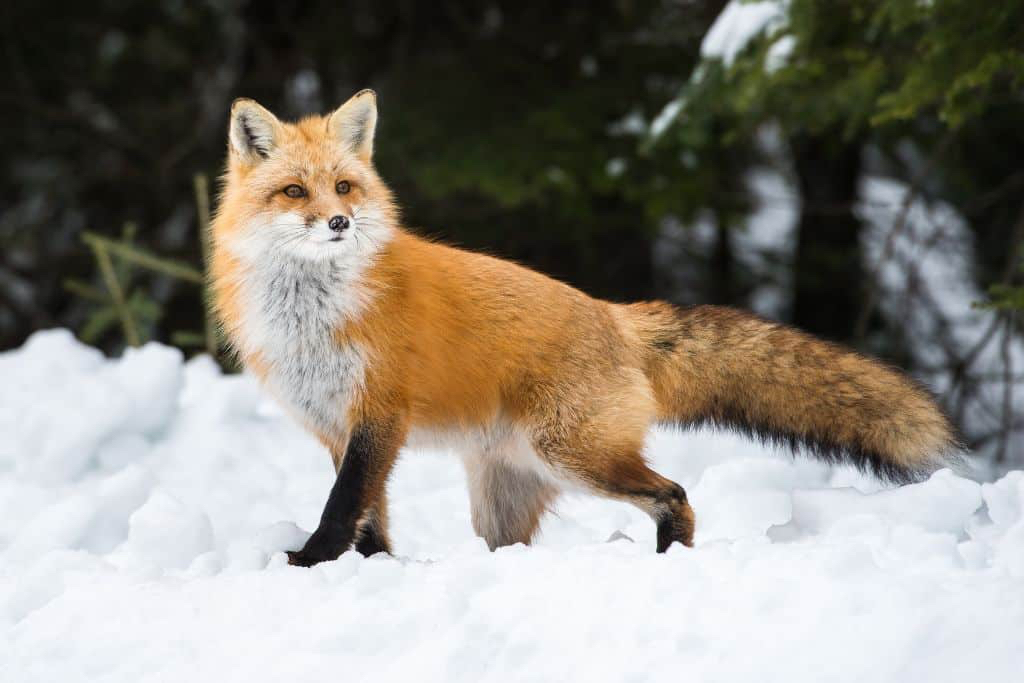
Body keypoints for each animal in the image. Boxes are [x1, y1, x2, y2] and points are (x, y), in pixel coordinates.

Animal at [211, 90, 964, 566]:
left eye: (343, 187)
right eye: (294, 192)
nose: (340, 221)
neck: (314, 314)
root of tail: (613, 314)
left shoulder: (379, 414)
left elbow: (343, 507)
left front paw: (309, 562)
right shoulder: (337, 426)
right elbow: (369, 516)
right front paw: (370, 568)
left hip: (573, 454)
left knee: (675, 495)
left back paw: (669, 561)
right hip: (505, 495)